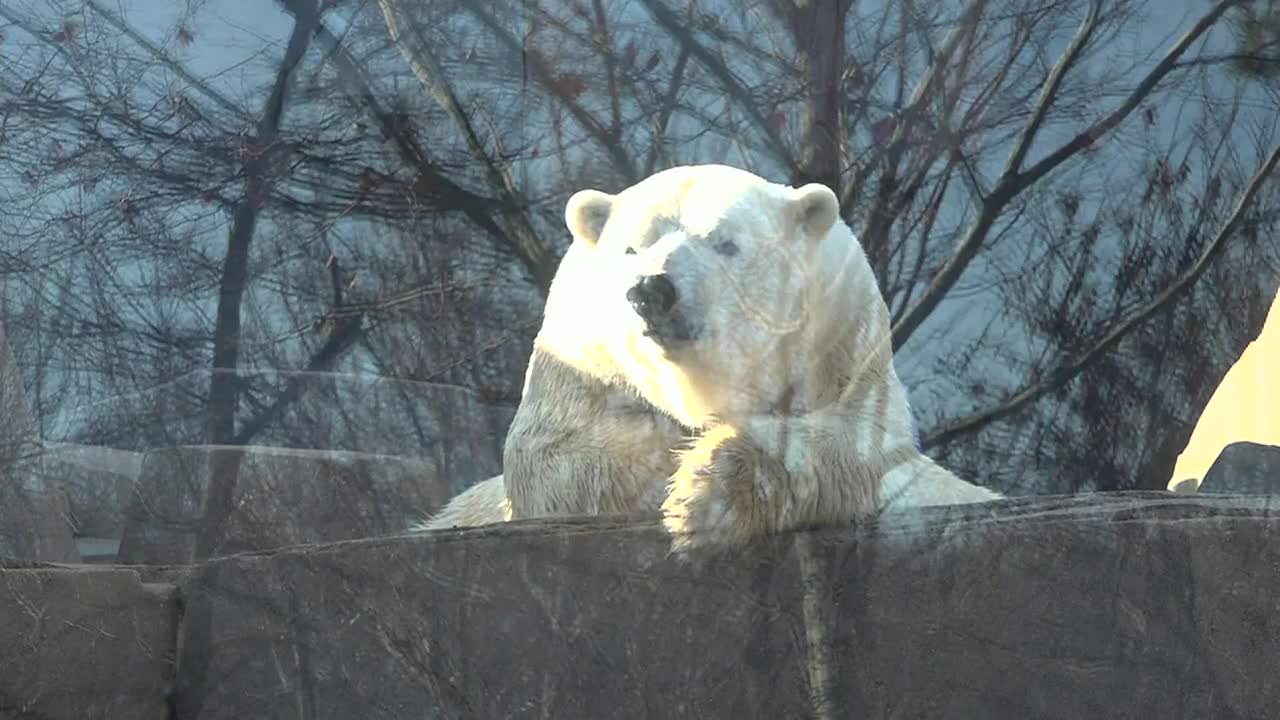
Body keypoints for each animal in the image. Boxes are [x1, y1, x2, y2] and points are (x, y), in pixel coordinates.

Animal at [573, 162, 1008, 548]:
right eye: (630, 249)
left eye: (726, 244)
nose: (652, 290)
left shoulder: (849, 357)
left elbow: (857, 445)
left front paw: (702, 494)